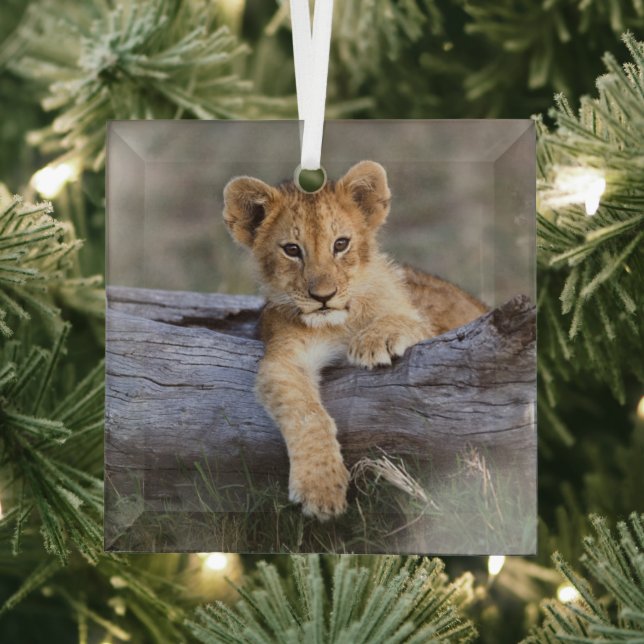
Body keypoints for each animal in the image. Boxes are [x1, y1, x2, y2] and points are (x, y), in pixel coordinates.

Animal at [223, 161, 487, 521]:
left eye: (341, 244)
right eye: (292, 250)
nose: (323, 296)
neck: (339, 323)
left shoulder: (431, 329)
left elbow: (407, 320)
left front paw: (376, 340)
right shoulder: (284, 358)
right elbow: (307, 413)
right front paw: (320, 488)